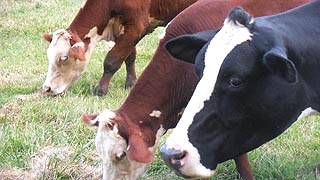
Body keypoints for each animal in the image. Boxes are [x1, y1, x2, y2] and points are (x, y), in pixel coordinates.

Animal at [42, 0, 198, 96]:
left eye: (64, 58)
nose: (46, 88)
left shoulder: (135, 27)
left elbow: (112, 60)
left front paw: (100, 90)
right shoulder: (122, 30)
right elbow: (129, 57)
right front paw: (130, 84)